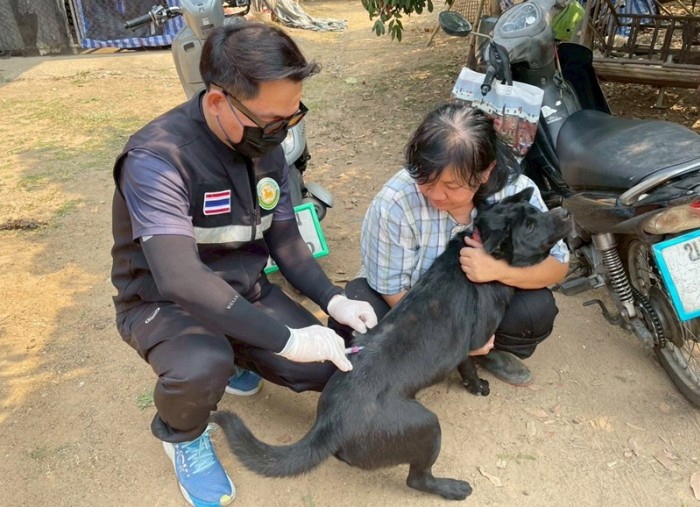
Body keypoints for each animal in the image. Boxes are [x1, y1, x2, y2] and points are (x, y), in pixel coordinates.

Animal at [210, 187, 572, 500]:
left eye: (534, 210)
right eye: (529, 225)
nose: (565, 212)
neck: (478, 248)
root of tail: (328, 425)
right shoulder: (476, 339)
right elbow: (472, 361)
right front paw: (478, 383)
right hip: (426, 426)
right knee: (417, 479)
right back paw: (452, 488)